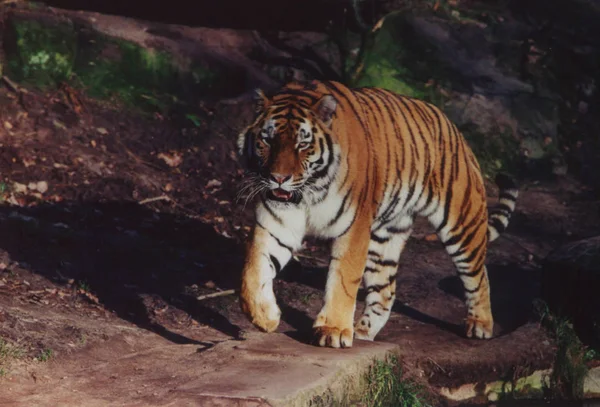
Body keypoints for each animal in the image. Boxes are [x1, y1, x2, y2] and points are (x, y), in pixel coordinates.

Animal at [237, 80, 516, 350]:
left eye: (302, 145)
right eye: (268, 141)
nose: (279, 178)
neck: (308, 193)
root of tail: (452, 125)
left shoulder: (353, 229)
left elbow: (343, 280)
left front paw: (333, 330)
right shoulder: (277, 223)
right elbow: (253, 270)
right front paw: (265, 316)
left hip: (462, 223)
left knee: (479, 275)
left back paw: (480, 325)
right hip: (385, 237)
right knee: (386, 289)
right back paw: (363, 332)